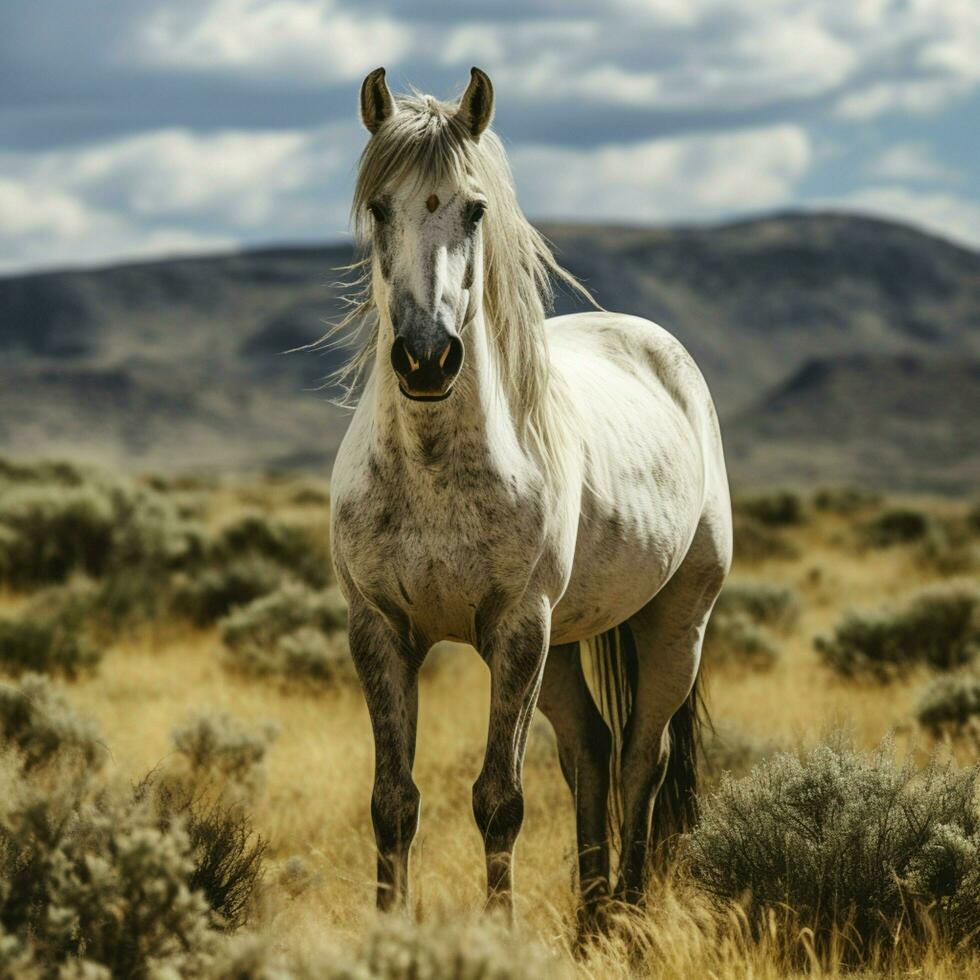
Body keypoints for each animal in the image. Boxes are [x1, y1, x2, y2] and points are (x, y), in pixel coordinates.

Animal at [332, 69, 736, 928]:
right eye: (379, 207)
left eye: (475, 208)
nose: (426, 359)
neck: (436, 470)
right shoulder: (379, 629)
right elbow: (392, 801)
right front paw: (389, 928)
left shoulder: (519, 628)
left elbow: (499, 800)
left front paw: (498, 931)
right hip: (565, 644)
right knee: (590, 748)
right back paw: (589, 921)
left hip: (672, 623)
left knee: (641, 759)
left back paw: (627, 918)